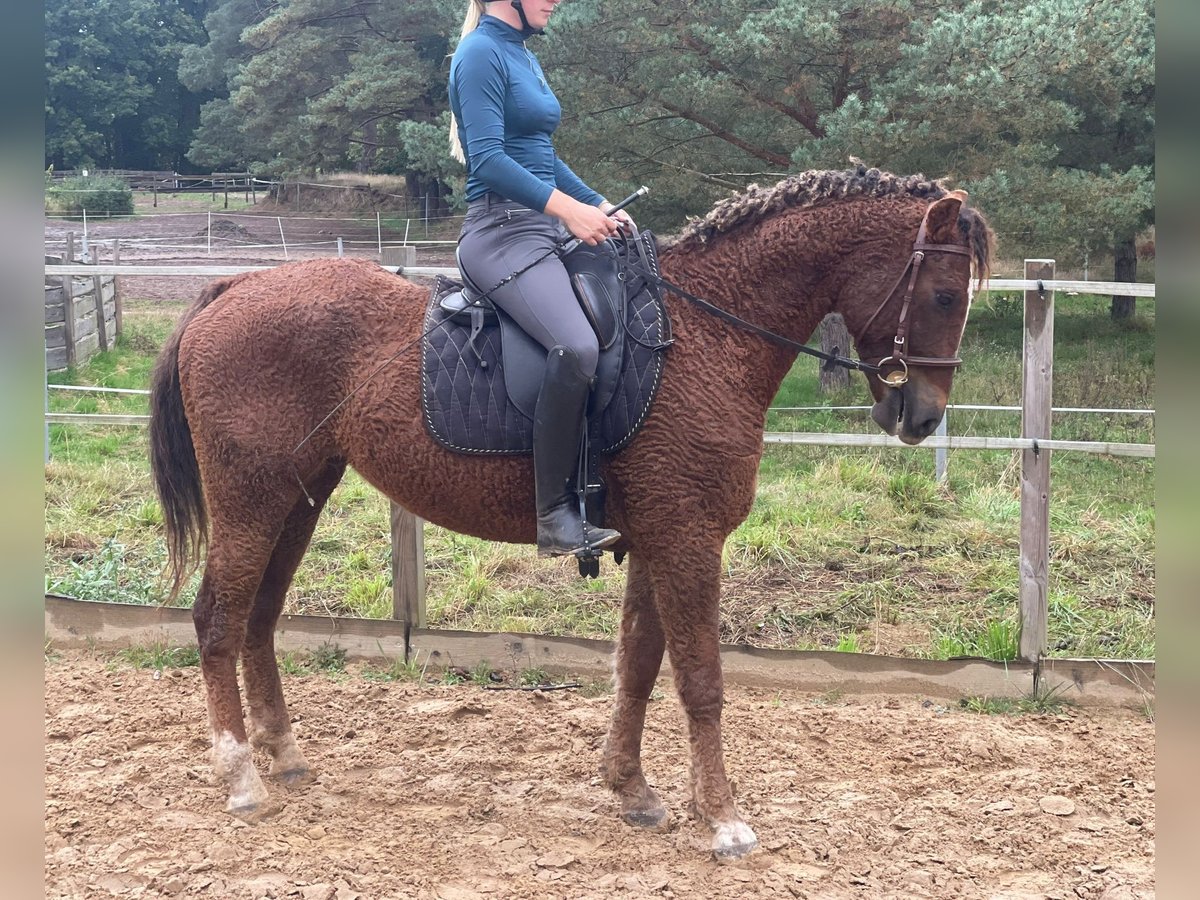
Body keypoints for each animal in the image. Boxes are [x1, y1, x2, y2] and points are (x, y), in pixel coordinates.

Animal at [150, 165, 993, 864]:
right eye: (945, 296)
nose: (922, 417)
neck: (709, 331)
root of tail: (234, 288)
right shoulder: (688, 538)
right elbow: (701, 680)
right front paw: (723, 819)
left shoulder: (656, 538)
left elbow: (640, 666)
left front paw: (633, 791)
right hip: (252, 499)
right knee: (217, 621)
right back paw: (241, 778)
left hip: (298, 497)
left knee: (258, 619)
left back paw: (283, 755)